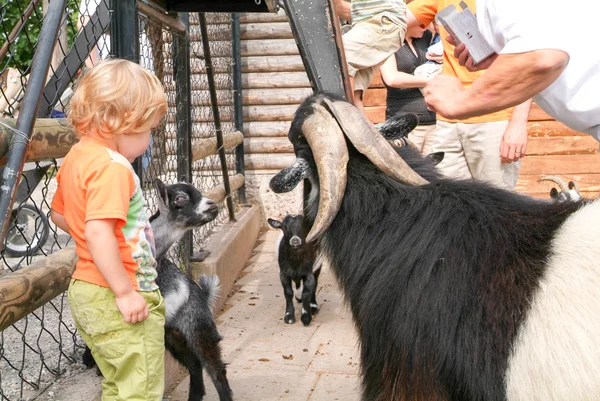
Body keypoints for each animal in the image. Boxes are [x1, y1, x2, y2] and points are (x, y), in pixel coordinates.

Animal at [83, 180, 233, 400]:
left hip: (197, 325)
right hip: (173, 335)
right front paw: (89, 358)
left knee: (214, 366)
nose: (212, 205)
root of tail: (203, 295)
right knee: (194, 365)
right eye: (180, 199)